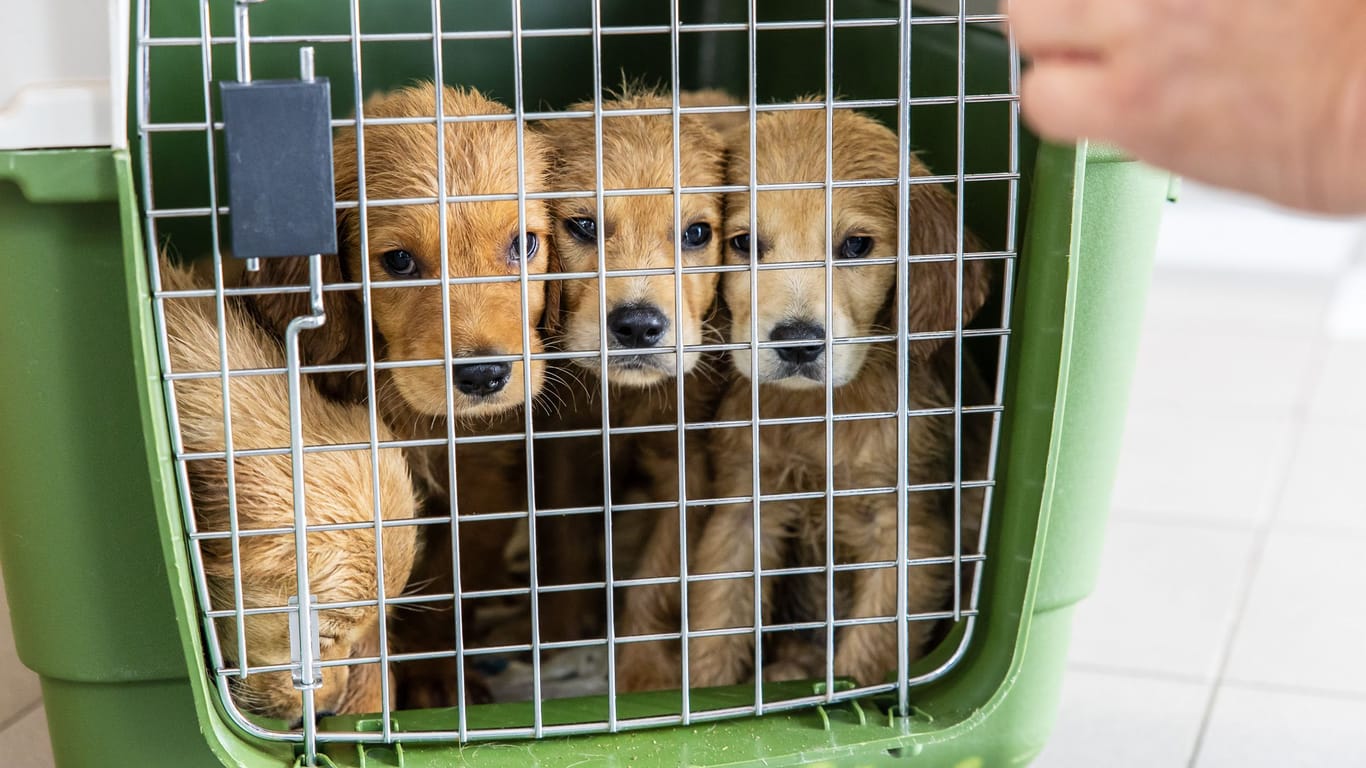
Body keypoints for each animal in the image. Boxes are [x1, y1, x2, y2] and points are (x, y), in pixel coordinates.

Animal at [248, 83, 557, 705]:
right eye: (398, 261)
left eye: (525, 244)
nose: (484, 376)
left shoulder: (483, 485)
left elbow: (449, 586)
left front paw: (437, 670)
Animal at [527, 86, 732, 655]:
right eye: (584, 226)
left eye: (696, 233)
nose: (639, 327)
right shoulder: (563, 446)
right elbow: (563, 539)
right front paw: (557, 629)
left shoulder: (688, 465)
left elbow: (658, 577)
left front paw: (641, 667)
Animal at [639, 105, 994, 688]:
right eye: (743, 243)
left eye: (856, 246)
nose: (799, 342)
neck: (819, 414)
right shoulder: (744, 509)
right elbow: (719, 614)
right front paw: (704, 692)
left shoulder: (906, 533)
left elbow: (871, 652)